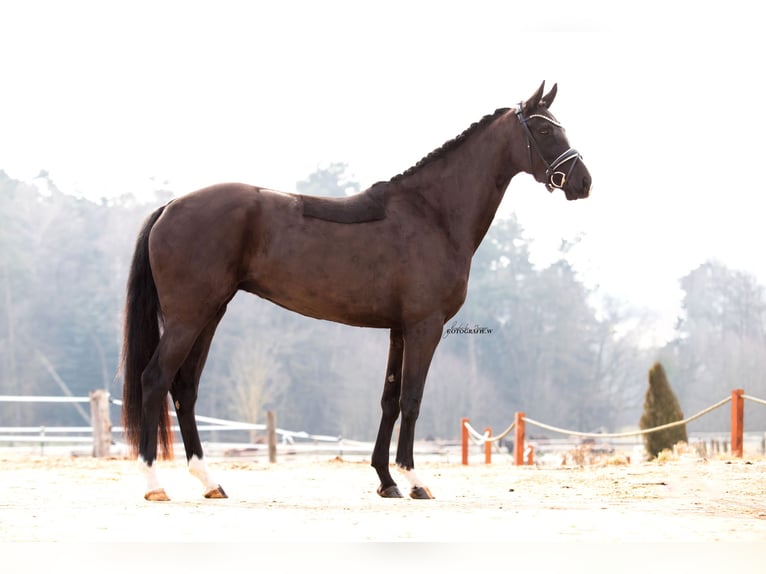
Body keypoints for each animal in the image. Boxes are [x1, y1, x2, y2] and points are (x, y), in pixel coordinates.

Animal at [121, 81, 592, 500]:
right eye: (544, 130)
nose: (583, 182)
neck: (433, 214)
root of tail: (170, 207)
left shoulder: (398, 330)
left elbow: (389, 400)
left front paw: (386, 480)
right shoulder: (425, 327)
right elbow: (412, 399)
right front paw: (415, 481)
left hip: (210, 314)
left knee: (184, 388)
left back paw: (210, 482)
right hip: (188, 318)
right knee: (155, 379)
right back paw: (153, 484)